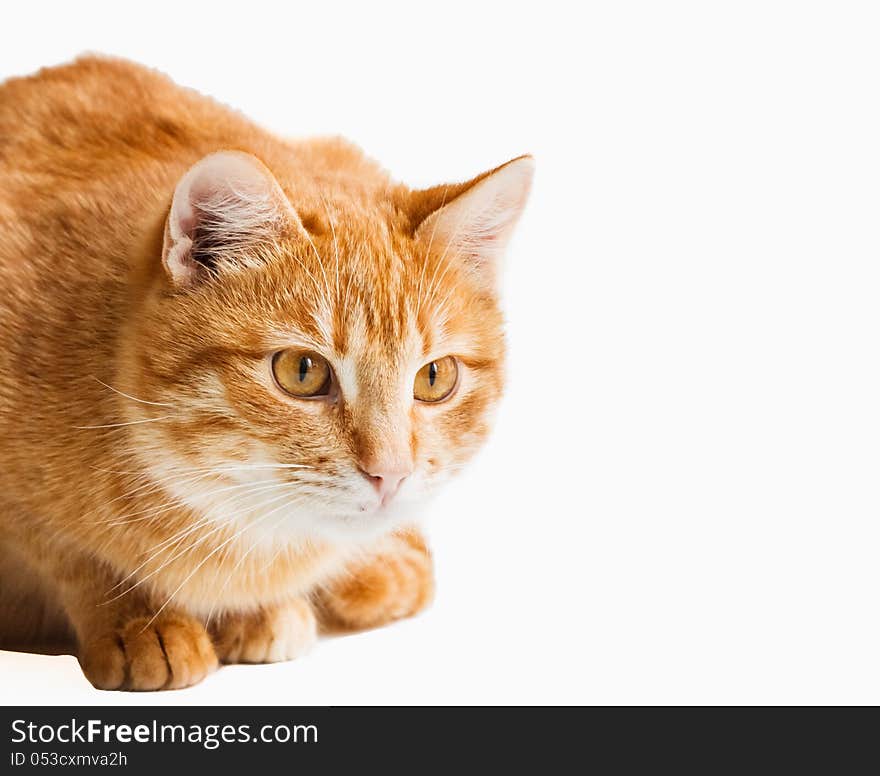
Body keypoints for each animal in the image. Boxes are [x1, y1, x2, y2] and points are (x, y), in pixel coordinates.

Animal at [0, 59, 528, 692]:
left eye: (434, 379)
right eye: (301, 371)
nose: (392, 474)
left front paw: (259, 610)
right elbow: (70, 556)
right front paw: (138, 620)